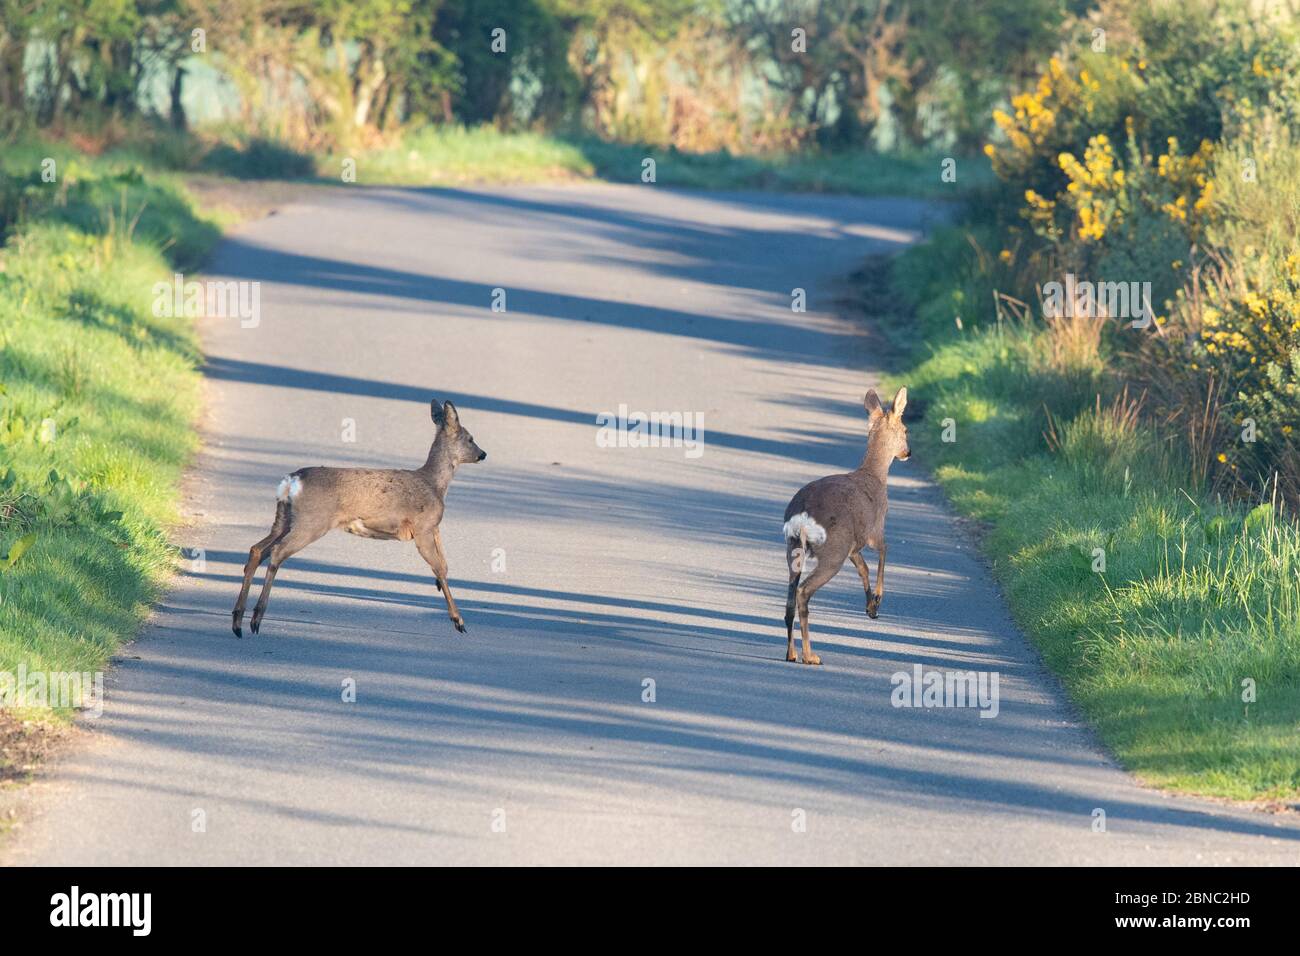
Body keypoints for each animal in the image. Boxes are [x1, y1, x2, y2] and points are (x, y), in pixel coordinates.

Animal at [231, 399, 486, 638]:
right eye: (470, 438)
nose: (483, 454)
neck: (435, 486)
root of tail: (291, 481)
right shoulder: (423, 527)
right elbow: (440, 568)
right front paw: (458, 620)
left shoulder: (434, 528)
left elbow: (444, 564)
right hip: (312, 521)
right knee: (276, 552)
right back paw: (255, 619)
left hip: (283, 518)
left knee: (257, 549)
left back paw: (238, 622)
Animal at [781, 386, 910, 665]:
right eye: (906, 429)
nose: (908, 453)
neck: (875, 476)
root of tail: (801, 515)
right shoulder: (875, 529)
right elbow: (884, 552)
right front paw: (877, 600)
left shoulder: (853, 545)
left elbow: (863, 568)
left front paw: (871, 607)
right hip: (832, 551)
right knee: (803, 592)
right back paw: (811, 656)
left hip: (794, 548)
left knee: (790, 597)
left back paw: (792, 654)